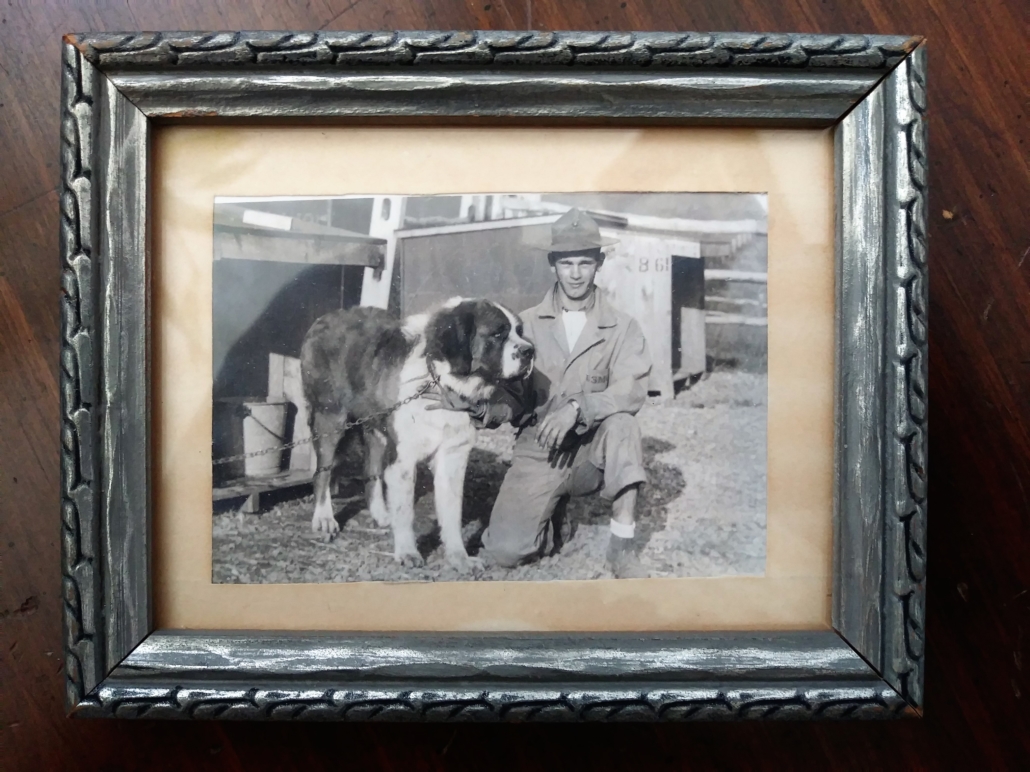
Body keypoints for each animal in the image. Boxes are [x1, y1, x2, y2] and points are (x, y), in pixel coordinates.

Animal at [298, 298, 535, 572]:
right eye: (498, 333)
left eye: (520, 331)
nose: (530, 351)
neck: (439, 380)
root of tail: (323, 319)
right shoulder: (403, 458)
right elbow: (405, 510)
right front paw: (407, 552)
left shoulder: (452, 457)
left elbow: (451, 512)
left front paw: (459, 557)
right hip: (331, 418)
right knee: (322, 472)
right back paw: (324, 518)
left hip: (376, 427)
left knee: (371, 471)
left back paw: (381, 514)